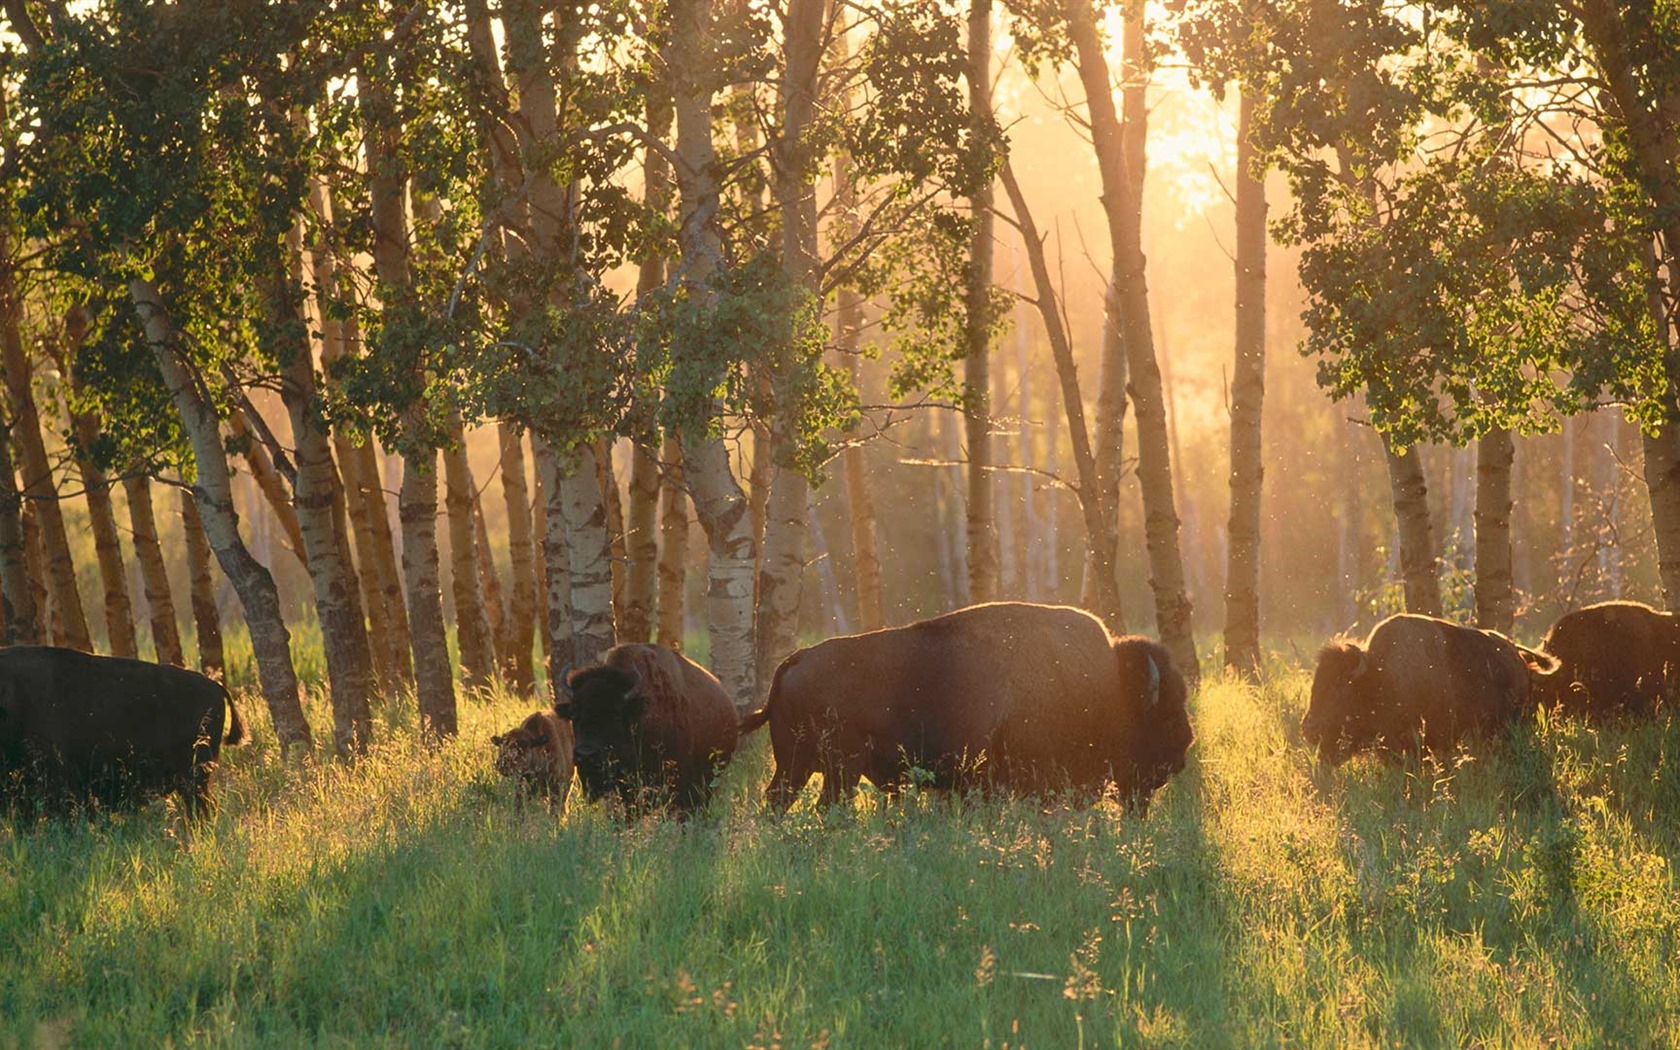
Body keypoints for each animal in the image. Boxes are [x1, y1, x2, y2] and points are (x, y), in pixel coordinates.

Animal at [745, 598, 1196, 809]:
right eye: (1166, 714)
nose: (1182, 754)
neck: (1109, 687)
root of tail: (795, 660)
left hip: (796, 766)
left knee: (777, 803)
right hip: (839, 771)